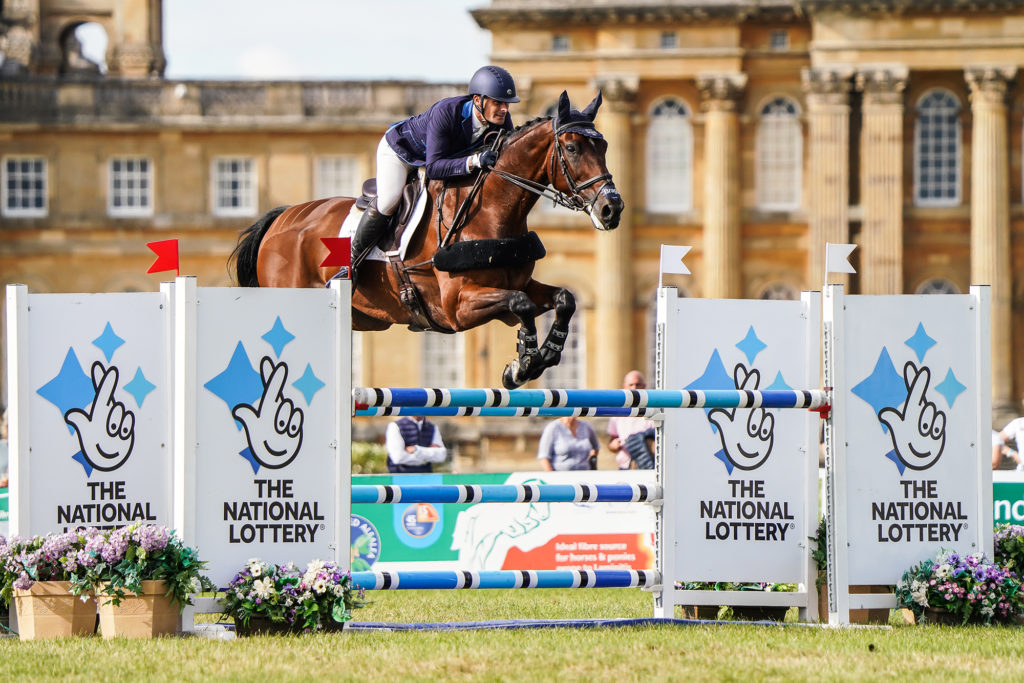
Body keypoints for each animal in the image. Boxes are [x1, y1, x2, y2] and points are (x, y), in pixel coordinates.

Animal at [230, 90, 622, 389]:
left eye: (603, 147)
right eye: (572, 149)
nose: (611, 209)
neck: (490, 210)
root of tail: (282, 218)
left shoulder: (519, 284)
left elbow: (564, 298)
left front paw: (542, 355)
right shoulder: (457, 307)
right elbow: (521, 304)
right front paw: (523, 364)